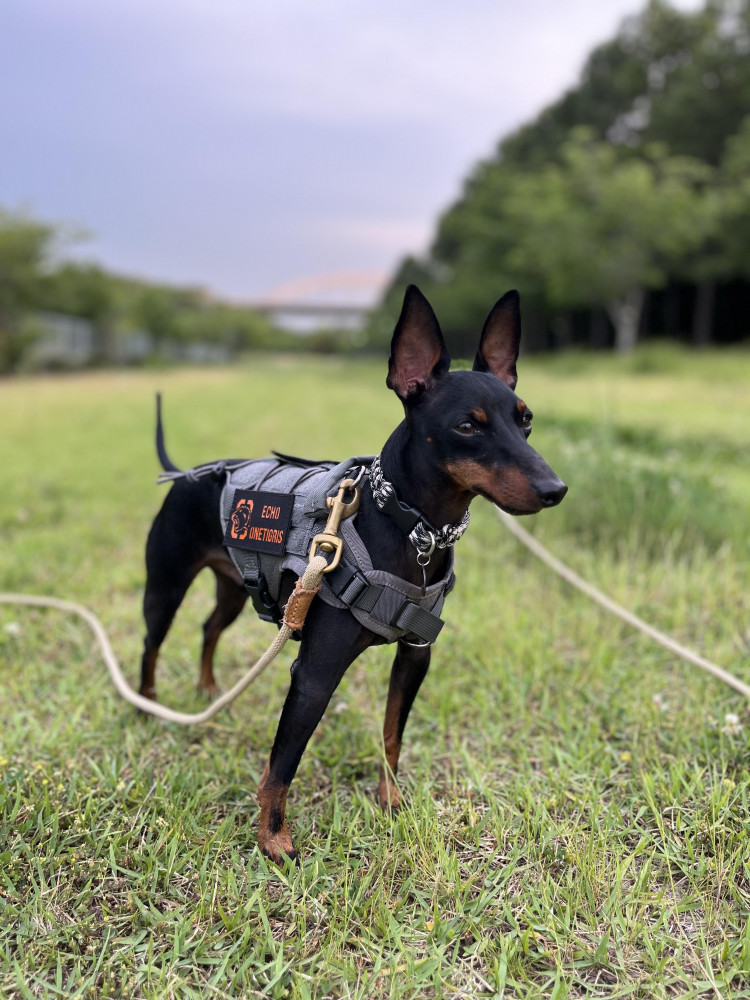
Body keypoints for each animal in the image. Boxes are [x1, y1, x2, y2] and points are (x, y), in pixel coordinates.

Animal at [138, 286, 568, 864]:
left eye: (526, 420)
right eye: (467, 426)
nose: (555, 489)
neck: (411, 529)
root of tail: (188, 471)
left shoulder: (415, 658)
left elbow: (391, 736)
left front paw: (390, 799)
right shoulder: (315, 675)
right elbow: (283, 765)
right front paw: (274, 841)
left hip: (236, 585)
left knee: (209, 627)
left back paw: (208, 690)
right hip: (165, 587)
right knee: (152, 644)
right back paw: (147, 706)